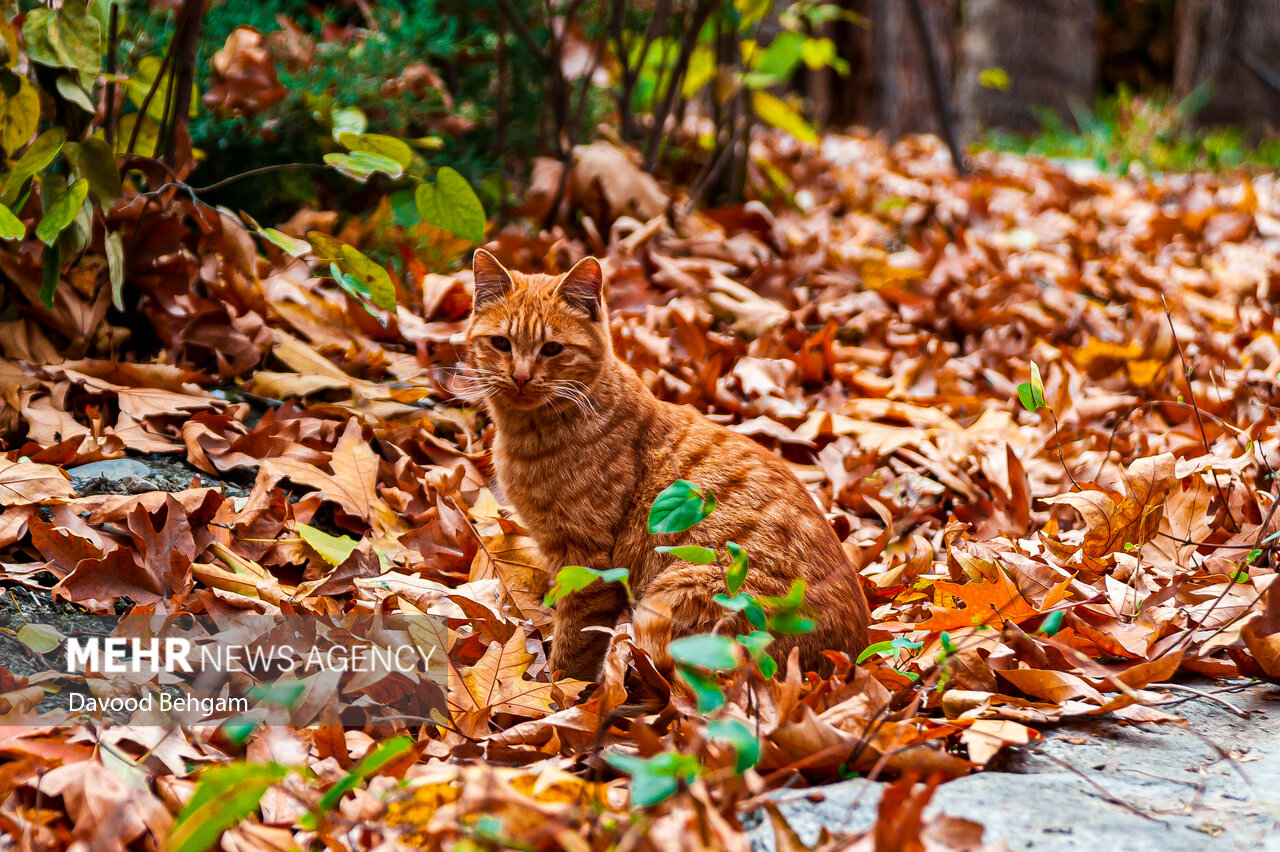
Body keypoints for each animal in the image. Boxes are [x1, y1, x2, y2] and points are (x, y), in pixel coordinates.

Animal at [465, 246, 875, 675]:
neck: (532, 433)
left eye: (551, 349)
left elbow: (573, 647)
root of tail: (850, 659)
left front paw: (558, 686)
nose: (520, 377)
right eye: (500, 343)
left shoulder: (587, 564)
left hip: (670, 599)